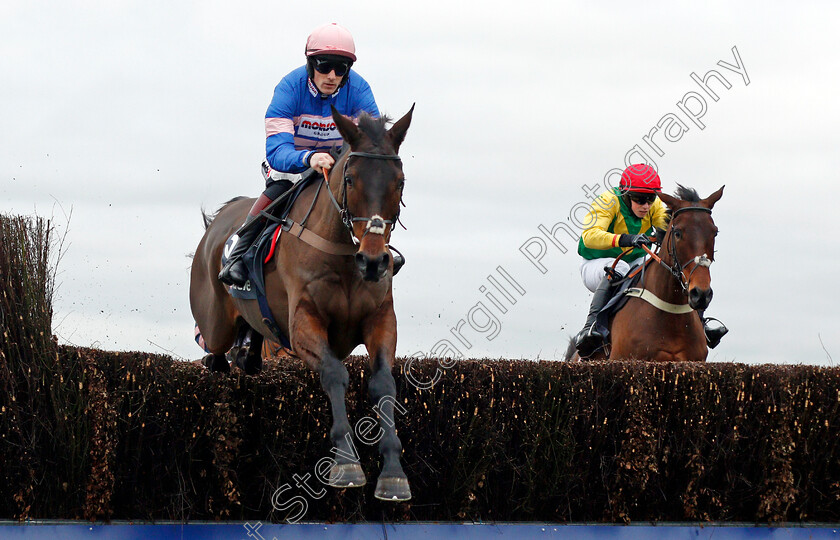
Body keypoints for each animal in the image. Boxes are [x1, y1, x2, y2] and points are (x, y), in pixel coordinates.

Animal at [189, 105, 416, 502]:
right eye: (350, 179)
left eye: (399, 182)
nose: (374, 261)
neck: (343, 254)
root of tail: (216, 225)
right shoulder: (303, 326)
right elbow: (335, 374)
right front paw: (346, 464)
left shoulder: (381, 320)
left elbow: (384, 384)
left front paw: (392, 473)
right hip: (214, 323)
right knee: (213, 352)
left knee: (243, 355)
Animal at [568, 185, 724, 362]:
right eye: (677, 233)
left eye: (715, 232)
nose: (701, 294)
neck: (672, 314)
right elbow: (592, 232)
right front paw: (635, 239)